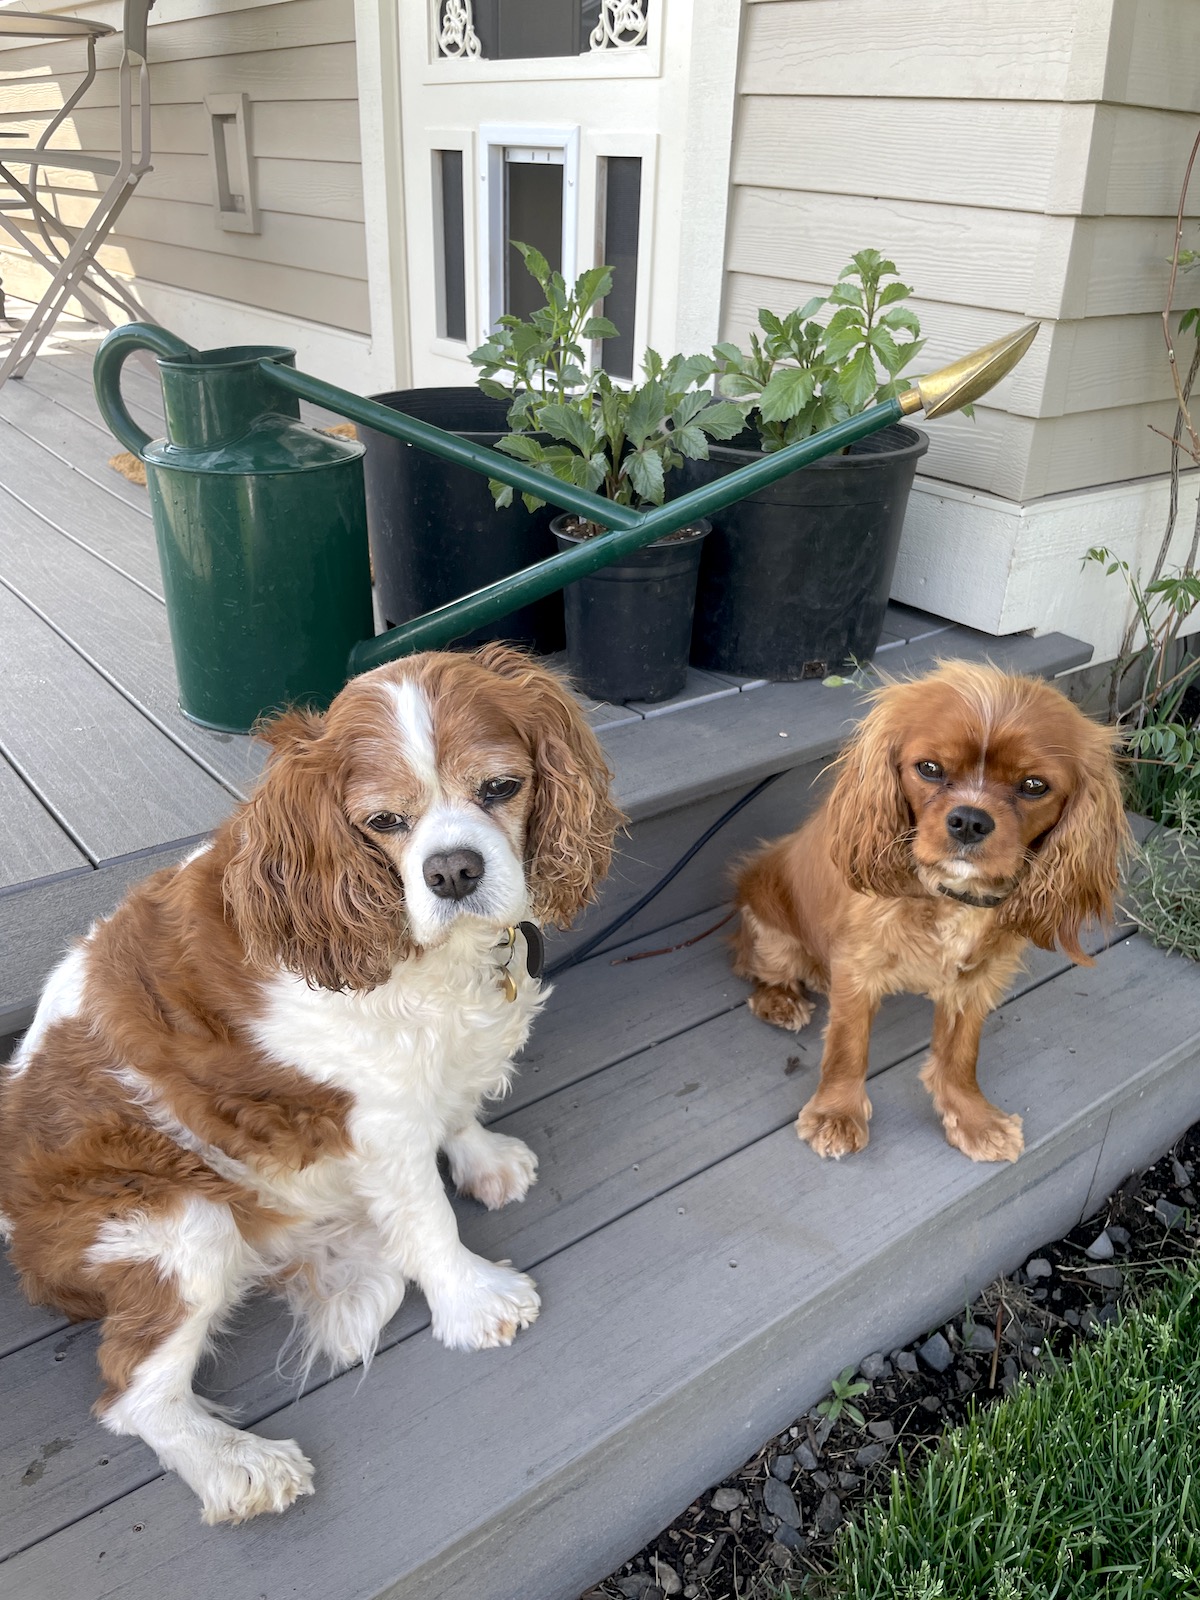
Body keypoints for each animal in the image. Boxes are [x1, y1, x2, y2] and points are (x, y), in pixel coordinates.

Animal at [0, 646, 620, 1523]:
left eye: (501, 788)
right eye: (383, 823)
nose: (452, 870)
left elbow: (455, 1108)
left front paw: (485, 1159)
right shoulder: (378, 1119)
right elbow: (429, 1219)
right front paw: (473, 1300)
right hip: (182, 1226)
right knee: (131, 1396)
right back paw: (238, 1467)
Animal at [729, 659, 1132, 1164]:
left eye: (1034, 785)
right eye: (930, 769)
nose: (970, 820)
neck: (952, 896)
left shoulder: (979, 979)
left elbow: (960, 1055)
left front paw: (974, 1120)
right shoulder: (858, 966)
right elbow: (846, 1045)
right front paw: (835, 1114)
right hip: (770, 932)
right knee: (757, 967)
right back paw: (779, 999)